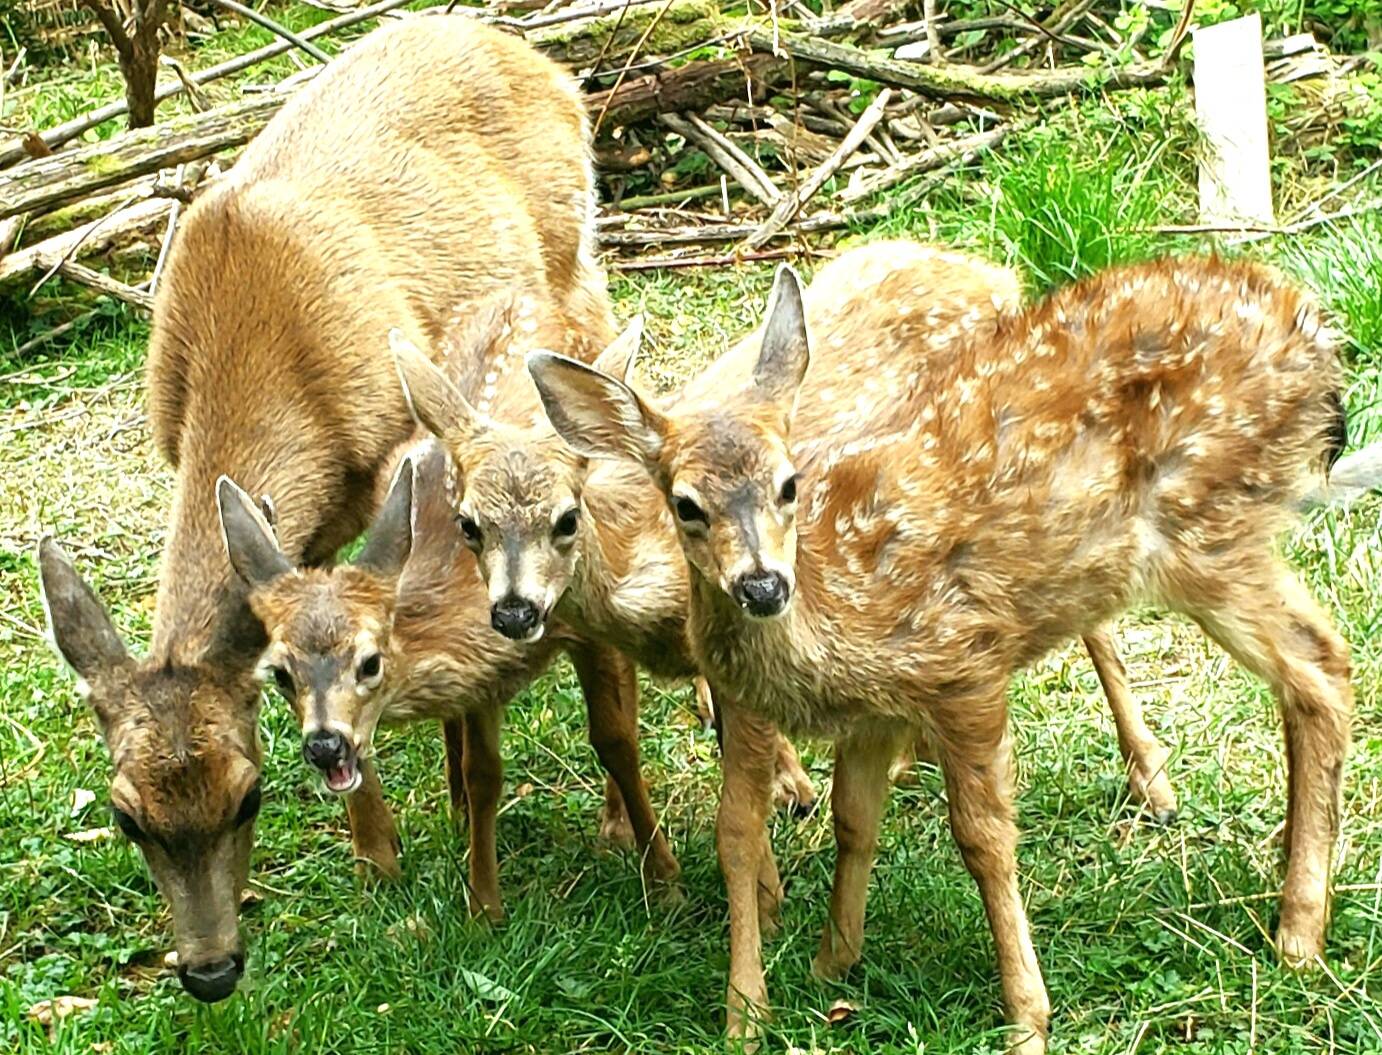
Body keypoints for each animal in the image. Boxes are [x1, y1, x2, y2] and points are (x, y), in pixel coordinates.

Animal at [37, 16, 616, 1004]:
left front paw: (385, 853)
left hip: (580, 258)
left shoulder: (384, 459)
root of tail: (534, 55)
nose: (211, 971)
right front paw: (381, 850)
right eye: (128, 816)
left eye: (248, 794)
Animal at [214, 437, 681, 918]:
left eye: (370, 662)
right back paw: (458, 813)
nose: (325, 746)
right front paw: (485, 908)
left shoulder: (587, 628)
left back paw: (615, 827)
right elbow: (483, 776)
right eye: (280, 674)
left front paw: (662, 880)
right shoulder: (481, 678)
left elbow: (615, 741)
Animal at [393, 240, 1180, 831]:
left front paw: (791, 793)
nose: (514, 610)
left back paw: (1152, 780)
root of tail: (995, 276)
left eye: (565, 516)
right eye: (467, 522)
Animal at [527, 252, 1352, 1053]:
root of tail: (1313, 333)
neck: (841, 604)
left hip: (1207, 526)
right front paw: (830, 963)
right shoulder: (873, 714)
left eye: (790, 483)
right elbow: (852, 818)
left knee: (1322, 662)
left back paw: (1297, 932)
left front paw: (1027, 1016)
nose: (762, 584)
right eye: (685, 504)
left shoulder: (963, 665)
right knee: (1313, 667)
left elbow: (983, 837)